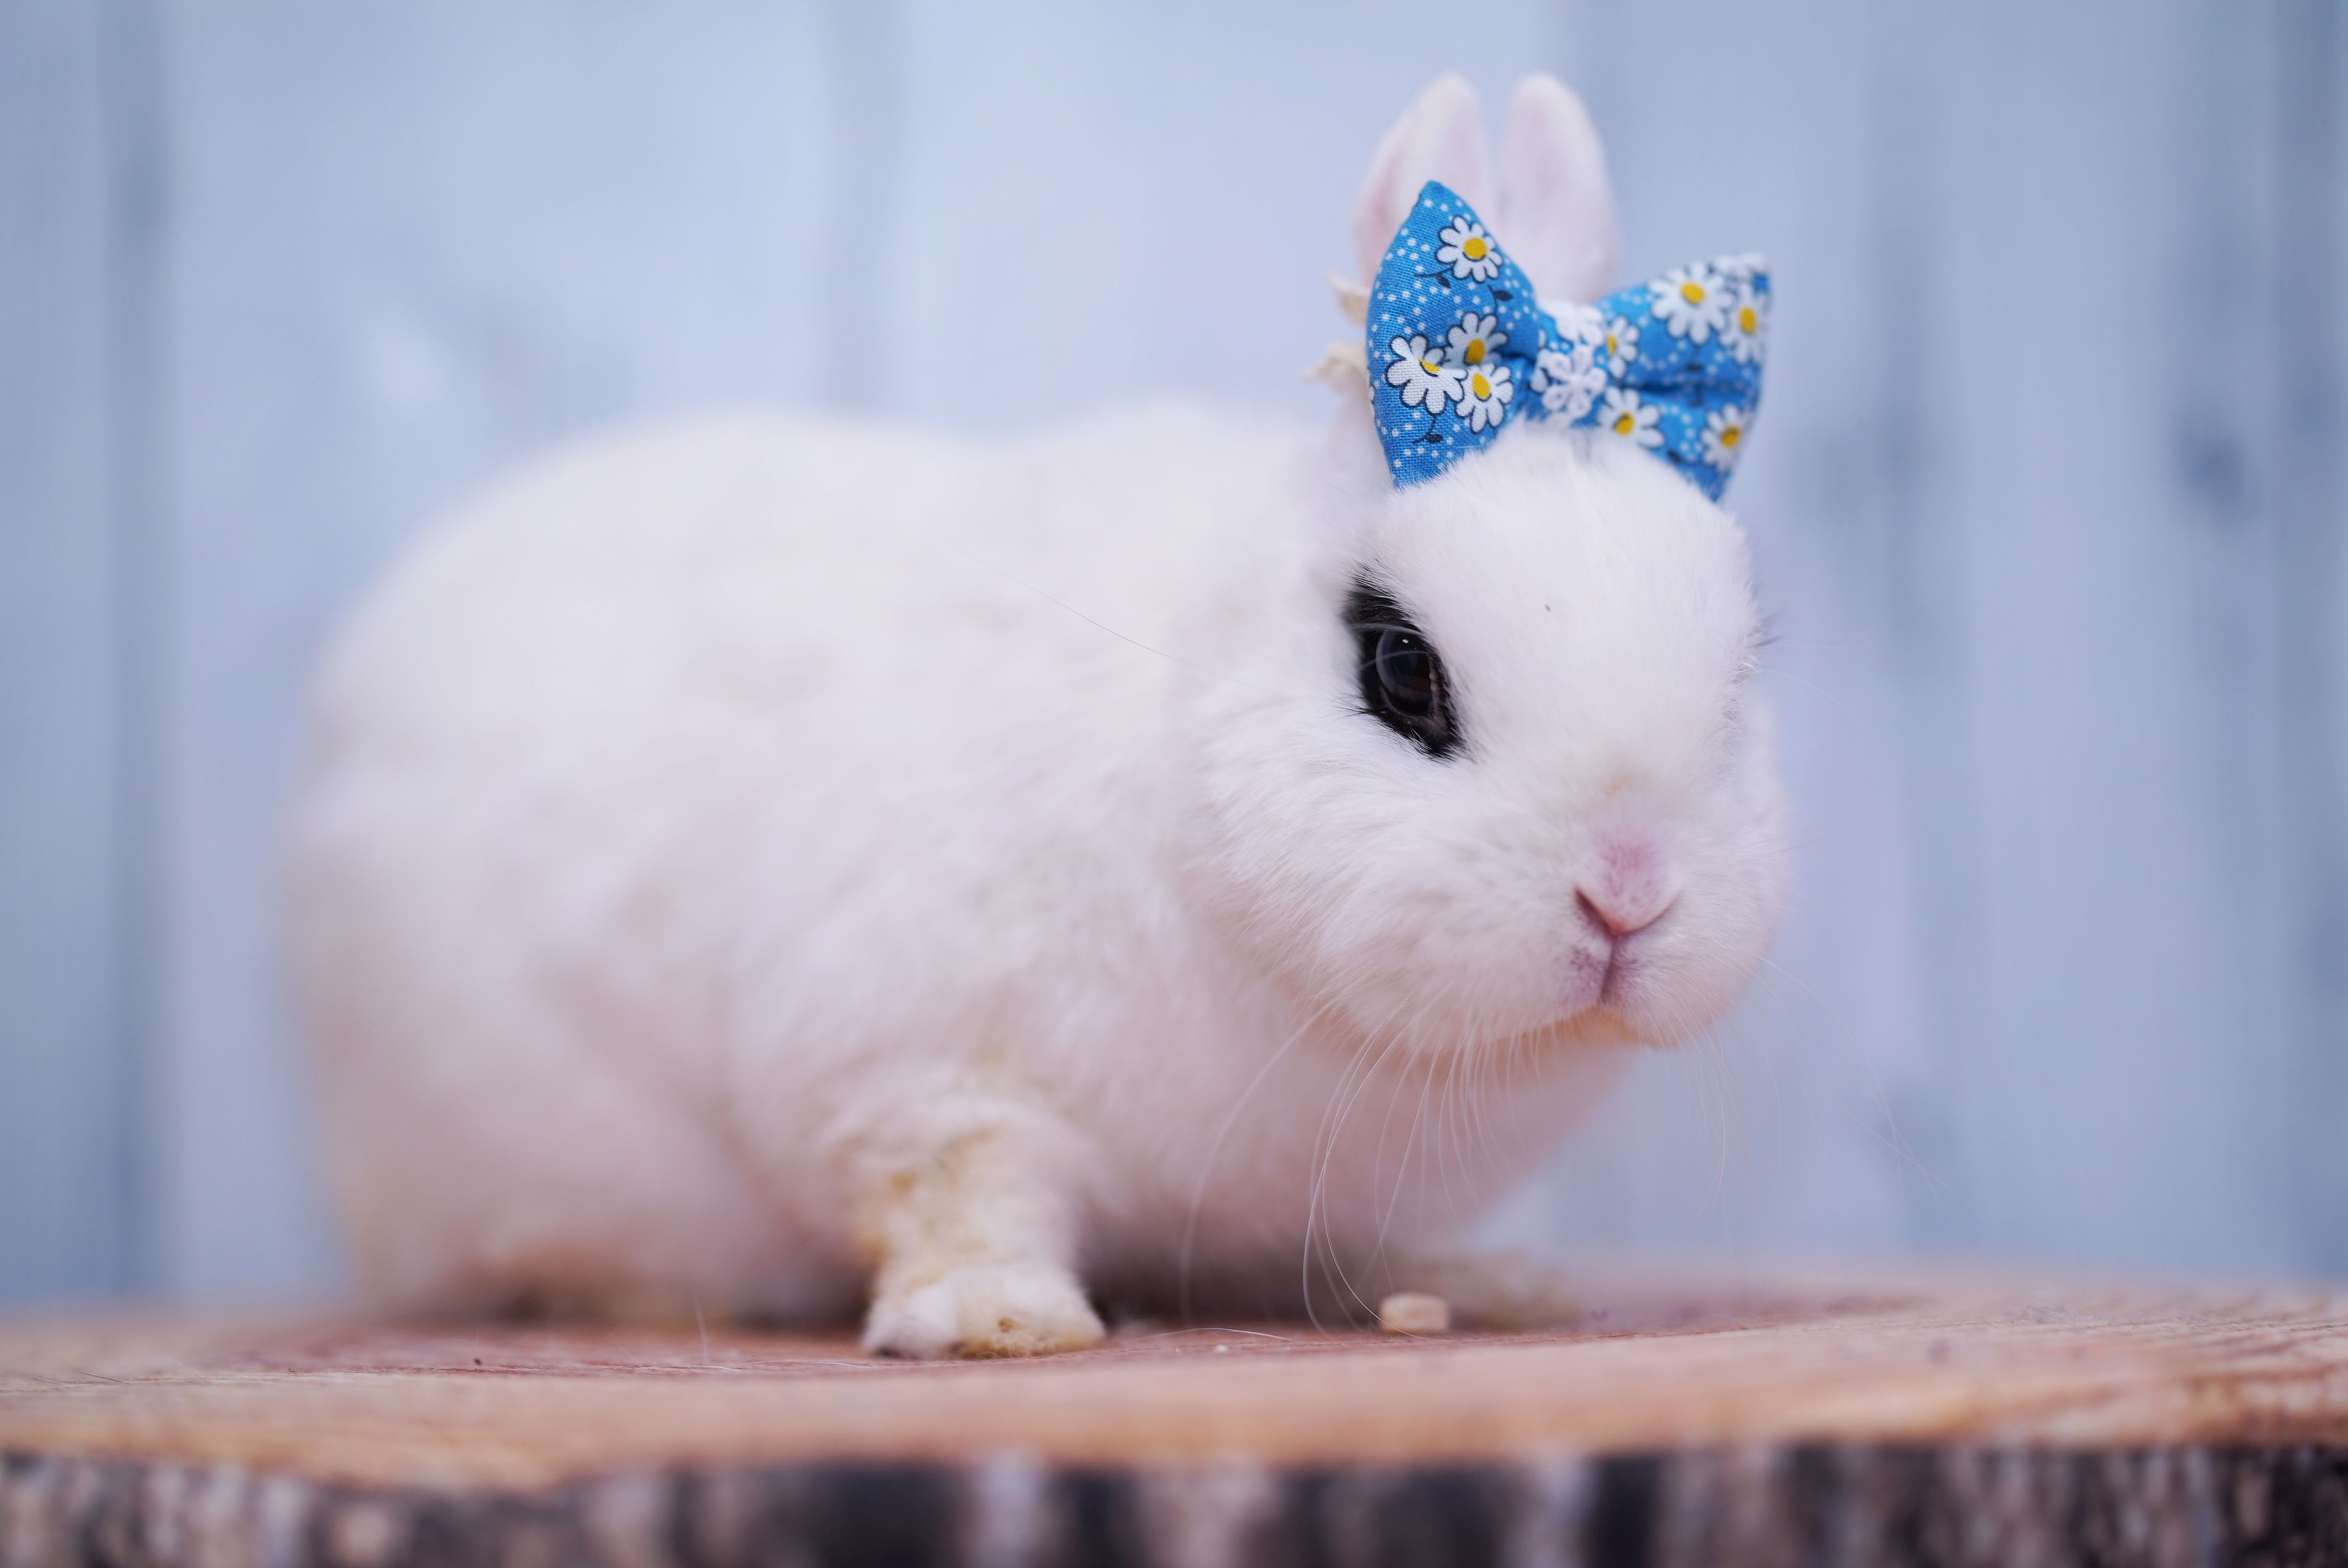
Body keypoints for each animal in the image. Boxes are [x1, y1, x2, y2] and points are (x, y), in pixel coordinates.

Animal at [285, 72, 1790, 1358]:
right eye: (1400, 668)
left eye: (1741, 673)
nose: (1626, 890)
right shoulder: (914, 1074)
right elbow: (963, 1188)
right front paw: (997, 1322)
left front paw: (1475, 1285)